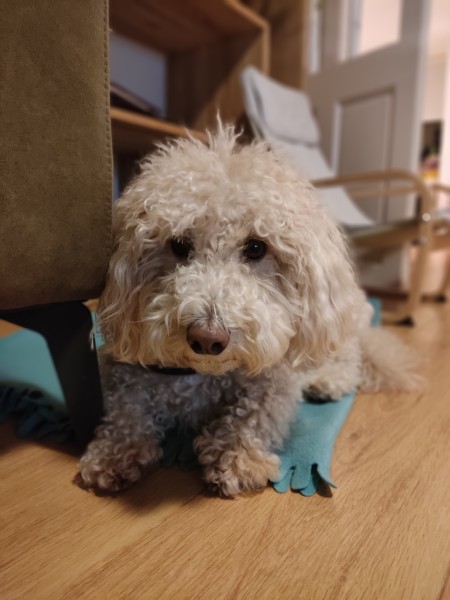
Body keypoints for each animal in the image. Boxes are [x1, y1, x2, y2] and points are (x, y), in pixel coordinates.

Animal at [78, 124, 420, 498]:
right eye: (179, 245)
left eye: (256, 248)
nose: (208, 338)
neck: (203, 375)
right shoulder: (121, 370)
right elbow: (124, 407)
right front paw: (114, 452)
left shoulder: (274, 384)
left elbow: (254, 414)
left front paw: (236, 455)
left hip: (337, 325)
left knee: (348, 358)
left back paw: (327, 380)